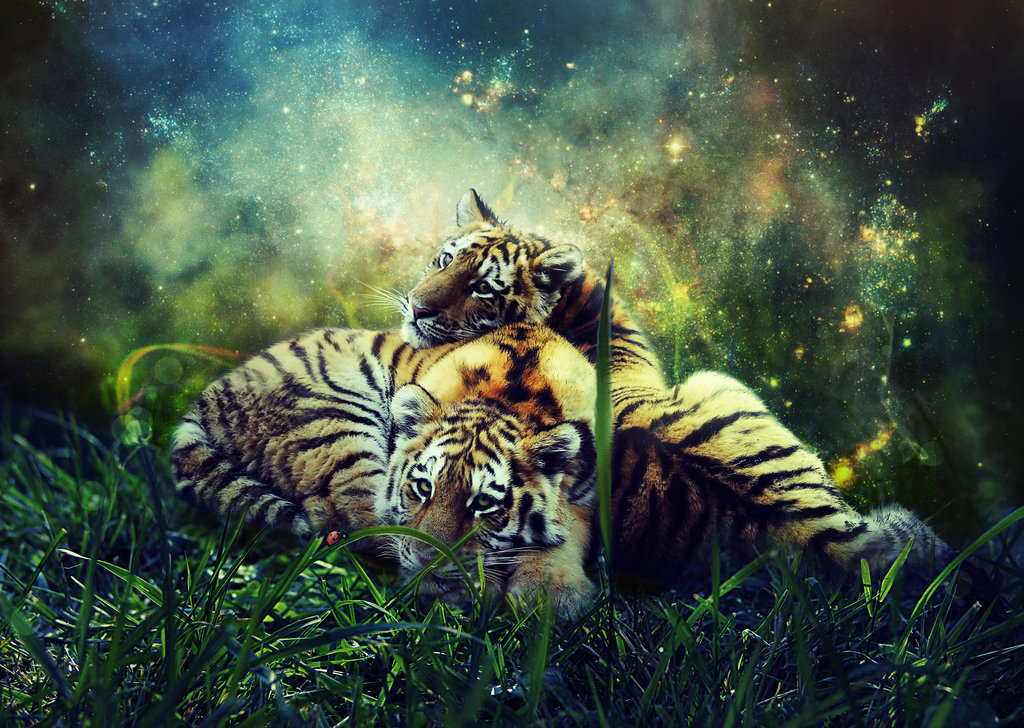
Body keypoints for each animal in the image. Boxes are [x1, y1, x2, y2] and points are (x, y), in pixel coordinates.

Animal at [171, 323, 599, 616]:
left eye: (483, 505)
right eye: (423, 487)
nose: (427, 563)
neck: (514, 399)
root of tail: (214, 393)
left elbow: (568, 528)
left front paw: (550, 594)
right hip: (339, 421)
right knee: (343, 522)